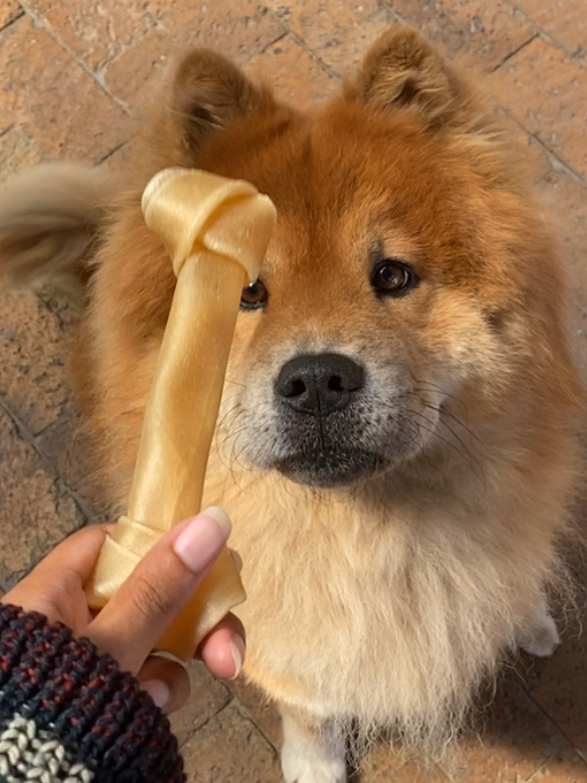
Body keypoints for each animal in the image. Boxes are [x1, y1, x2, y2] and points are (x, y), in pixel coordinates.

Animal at [1, 26, 583, 783]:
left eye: (392, 275)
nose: (317, 379)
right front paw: (314, 762)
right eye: (246, 291)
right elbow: (310, 706)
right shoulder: (285, 643)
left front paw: (525, 614)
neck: (367, 537)